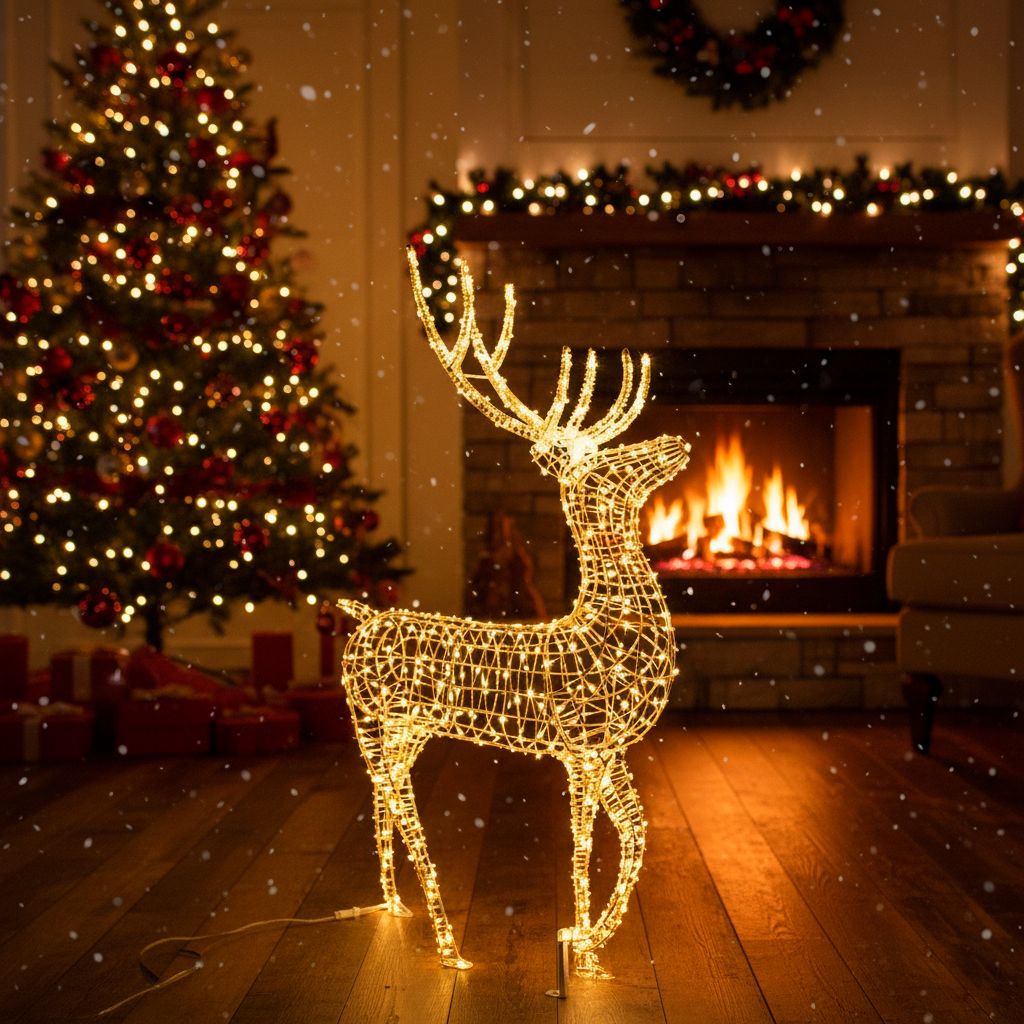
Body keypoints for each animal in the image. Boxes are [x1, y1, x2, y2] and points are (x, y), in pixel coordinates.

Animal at [338, 248, 690, 980]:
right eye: (595, 458)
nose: (675, 441)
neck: (608, 624)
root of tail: (358, 616)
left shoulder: (610, 746)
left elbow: (637, 832)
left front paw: (581, 938)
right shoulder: (582, 745)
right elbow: (584, 843)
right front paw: (585, 955)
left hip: (390, 725)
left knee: (380, 794)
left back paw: (393, 907)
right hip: (386, 719)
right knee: (402, 803)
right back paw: (450, 948)